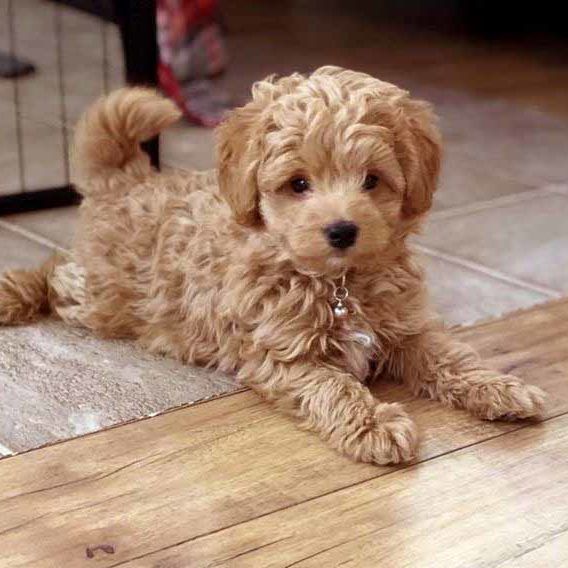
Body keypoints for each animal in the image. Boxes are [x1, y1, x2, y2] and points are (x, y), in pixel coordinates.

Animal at [2, 67, 548, 466]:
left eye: (372, 180)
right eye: (298, 184)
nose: (343, 230)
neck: (338, 282)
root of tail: (126, 179)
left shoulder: (407, 327)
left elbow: (450, 356)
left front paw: (500, 388)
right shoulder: (285, 353)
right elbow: (334, 387)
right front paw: (374, 425)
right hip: (101, 295)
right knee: (57, 270)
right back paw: (17, 292)